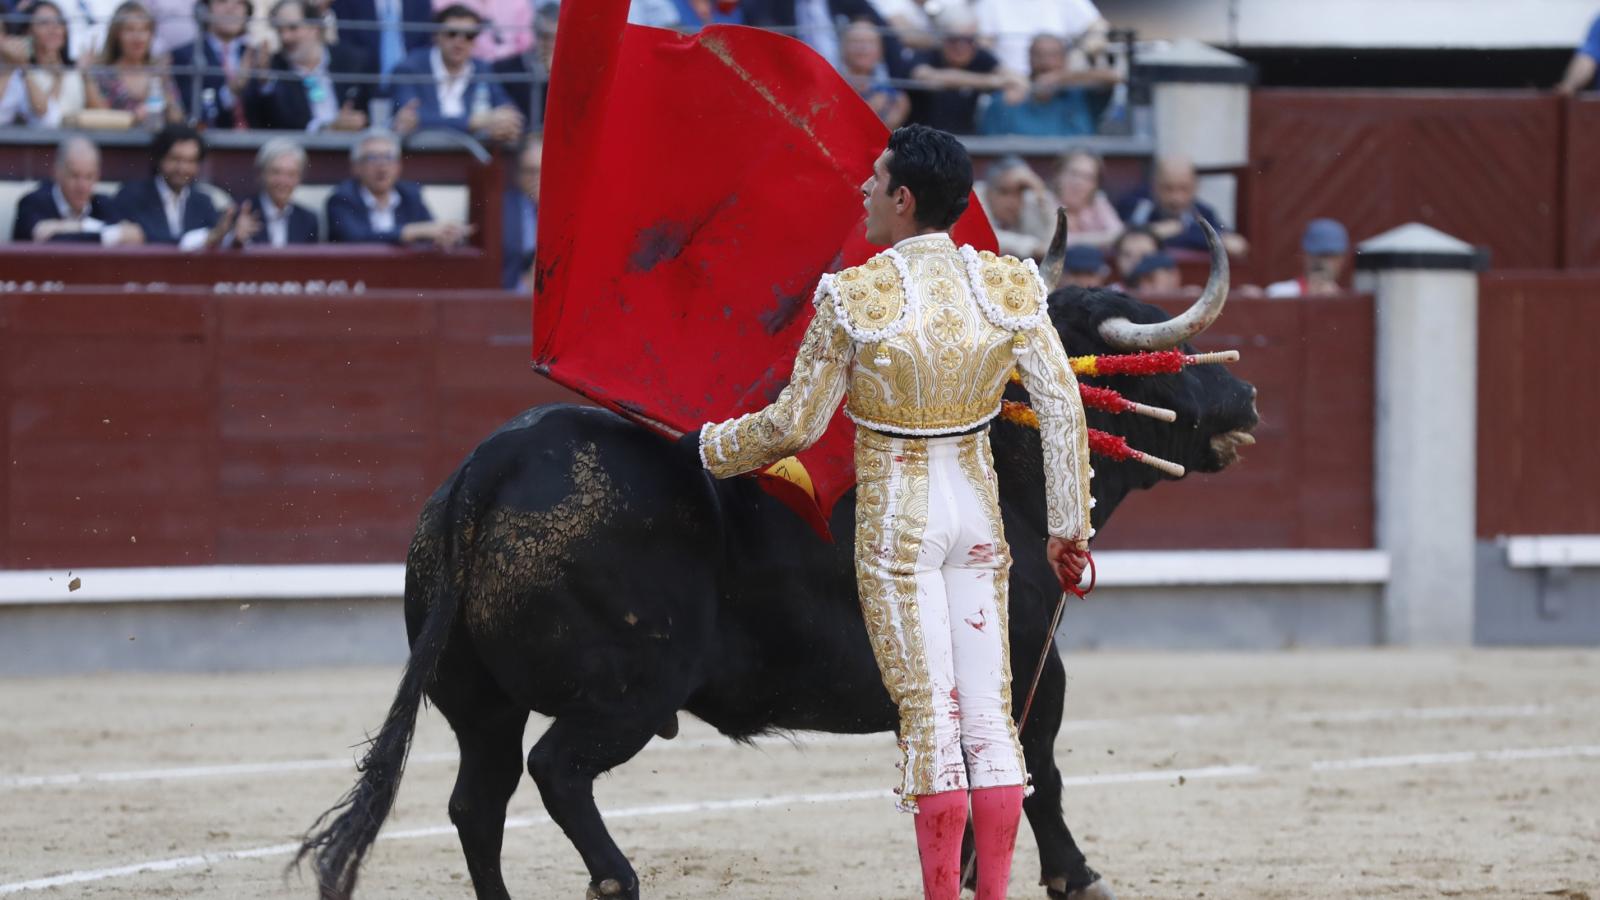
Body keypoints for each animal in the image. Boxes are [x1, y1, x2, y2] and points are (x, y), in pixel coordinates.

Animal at [294, 285, 1254, 896]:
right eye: (1153, 358)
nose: (1243, 393)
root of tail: (489, 466)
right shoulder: (1029, 667)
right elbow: (1037, 771)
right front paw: (1071, 875)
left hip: (477, 700)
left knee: (477, 801)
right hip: (629, 694)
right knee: (556, 771)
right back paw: (618, 878)